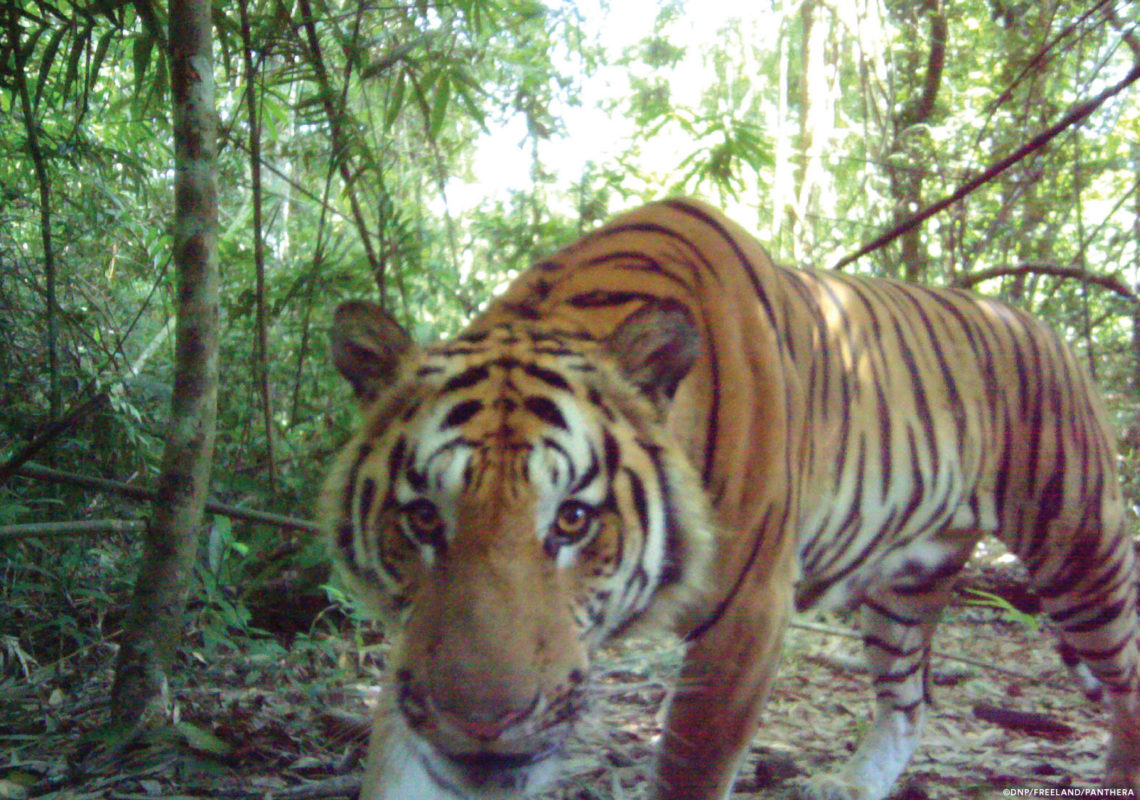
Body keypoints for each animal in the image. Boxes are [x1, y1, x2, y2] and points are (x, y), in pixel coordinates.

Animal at [321, 196, 1140, 800]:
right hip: (905, 589)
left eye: (573, 521)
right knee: (909, 701)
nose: (479, 724)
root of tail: (1039, 323)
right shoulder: (416, 646)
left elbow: (690, 769)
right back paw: (853, 782)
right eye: (423, 518)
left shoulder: (745, 618)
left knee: (1126, 671)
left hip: (1080, 552)